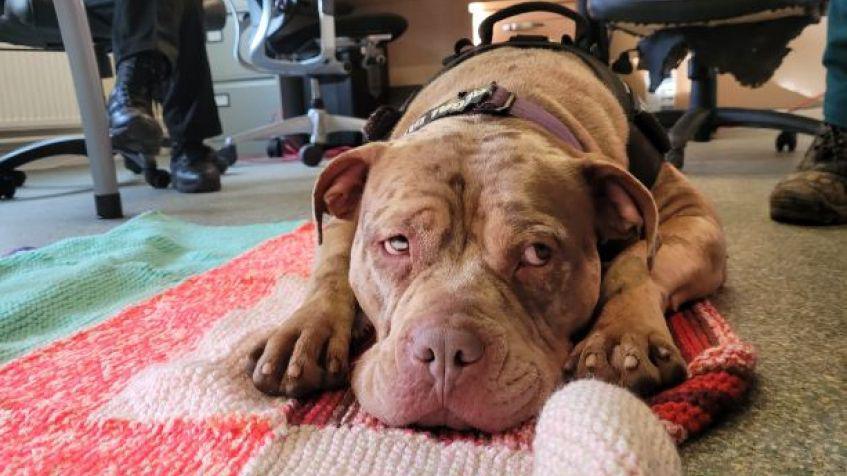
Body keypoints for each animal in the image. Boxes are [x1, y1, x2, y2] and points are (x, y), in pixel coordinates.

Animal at [245, 47, 728, 432]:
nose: (444, 349)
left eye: (538, 254)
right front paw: (304, 331)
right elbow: (331, 268)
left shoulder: (691, 217)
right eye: (397, 244)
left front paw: (623, 333)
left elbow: (637, 263)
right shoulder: (344, 219)